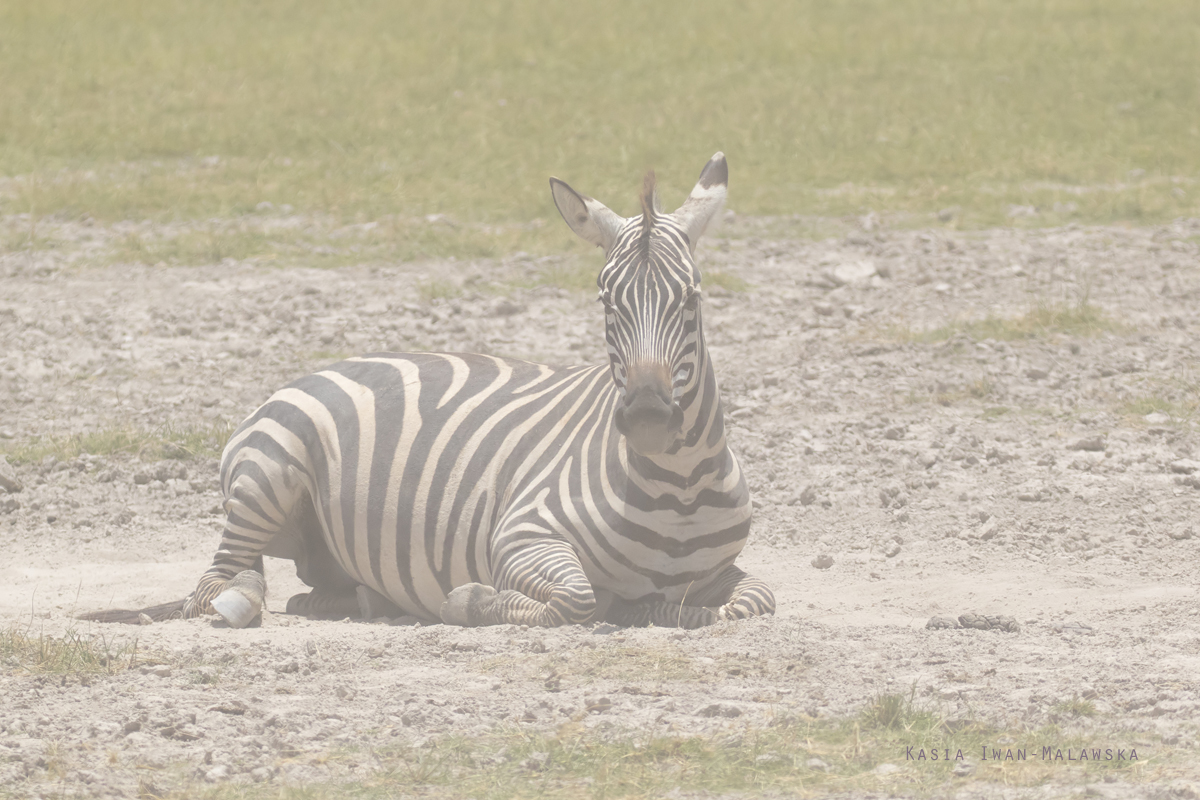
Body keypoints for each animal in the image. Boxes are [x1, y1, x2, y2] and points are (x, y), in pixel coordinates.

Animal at [87, 154, 777, 633]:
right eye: (607, 302)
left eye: (692, 301)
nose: (650, 417)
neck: (678, 488)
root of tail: (312, 368)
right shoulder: (519, 536)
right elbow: (575, 598)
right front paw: (473, 601)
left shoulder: (724, 571)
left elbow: (755, 600)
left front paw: (655, 609)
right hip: (266, 475)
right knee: (218, 582)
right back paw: (236, 602)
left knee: (298, 585)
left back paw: (360, 599)